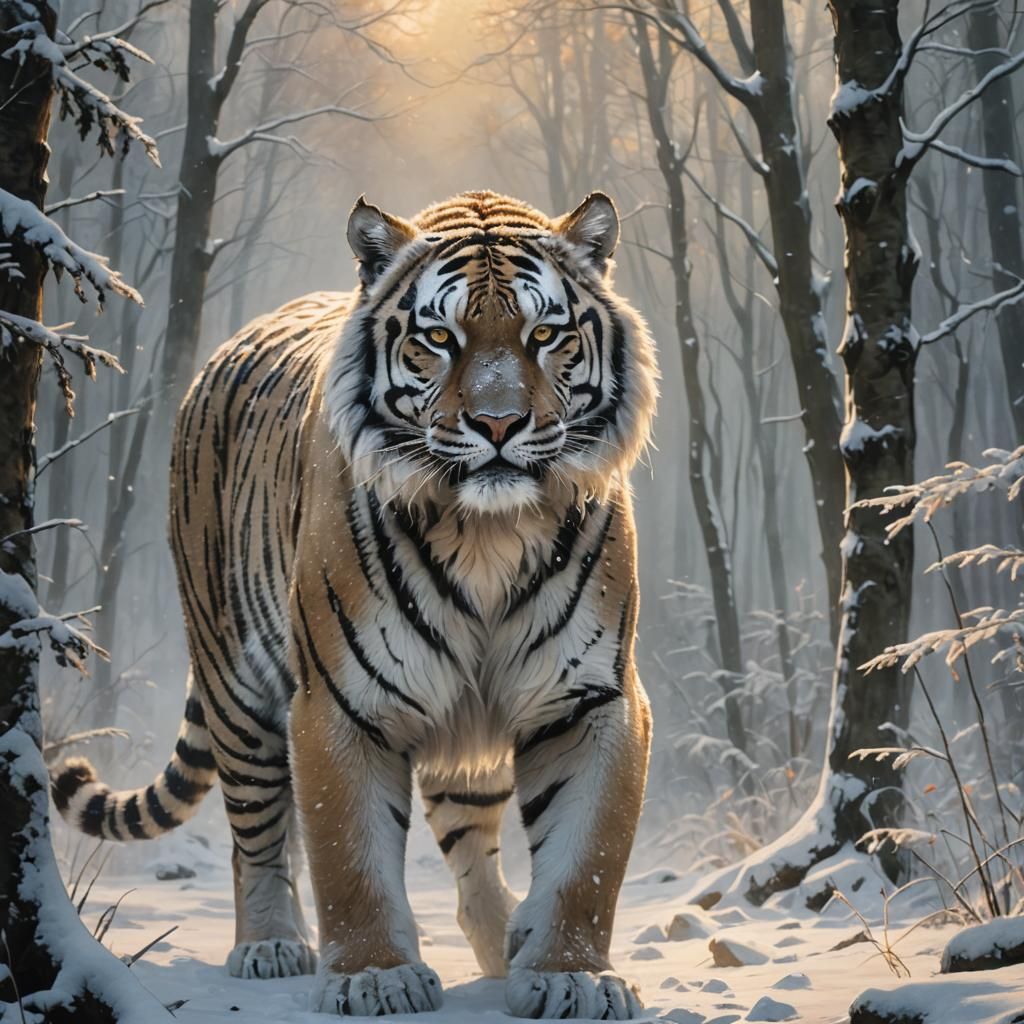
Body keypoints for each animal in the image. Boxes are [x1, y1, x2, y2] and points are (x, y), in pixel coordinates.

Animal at [53, 190, 658, 1019]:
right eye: (439, 337)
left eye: (544, 335)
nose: (499, 425)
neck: (489, 534)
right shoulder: (341, 702)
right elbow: (349, 854)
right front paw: (374, 976)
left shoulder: (590, 697)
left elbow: (585, 858)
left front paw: (571, 976)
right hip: (235, 684)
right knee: (256, 831)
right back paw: (269, 947)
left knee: (471, 846)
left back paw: (502, 947)